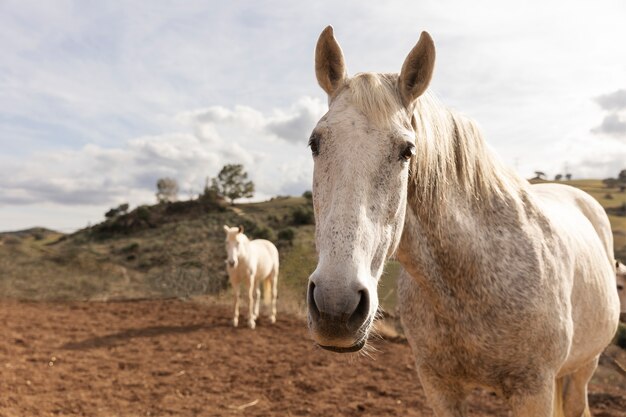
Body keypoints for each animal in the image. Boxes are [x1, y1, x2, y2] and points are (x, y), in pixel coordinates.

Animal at [304, 26, 616, 416]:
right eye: (315, 143)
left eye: (407, 150)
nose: (335, 307)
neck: (472, 276)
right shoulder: (439, 386)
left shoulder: (534, 389)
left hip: (583, 368)